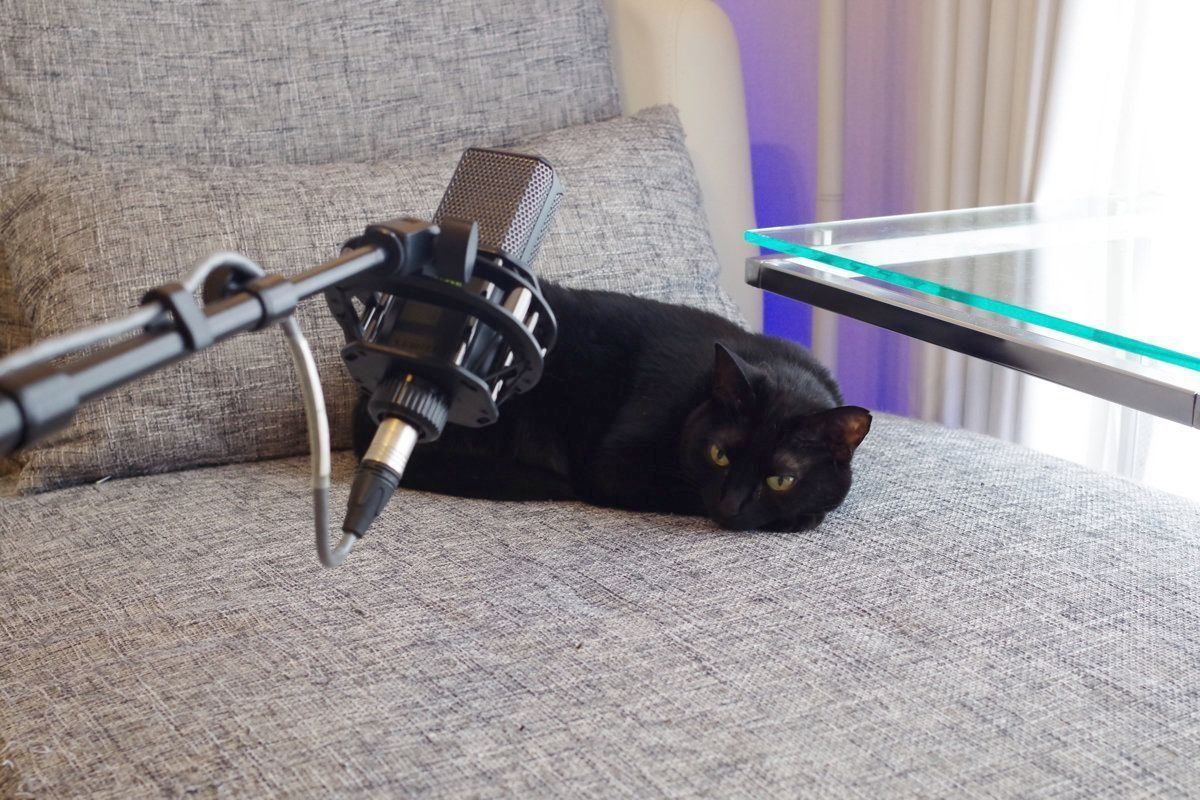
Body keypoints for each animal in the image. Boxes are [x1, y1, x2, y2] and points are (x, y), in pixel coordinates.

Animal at [353, 283, 871, 532]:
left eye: (781, 479)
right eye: (719, 455)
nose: (728, 507)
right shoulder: (617, 464)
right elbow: (681, 489)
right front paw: (802, 517)